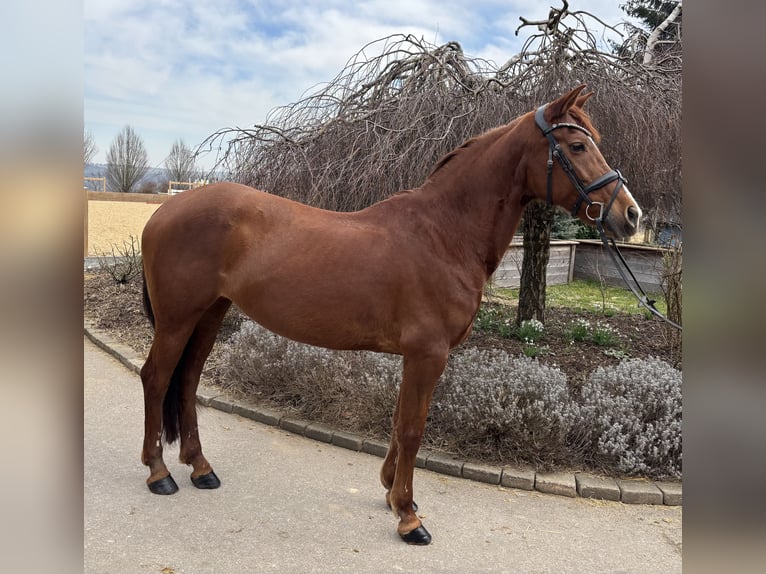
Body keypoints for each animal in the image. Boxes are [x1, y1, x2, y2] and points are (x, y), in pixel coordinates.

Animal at [140, 83, 640, 548]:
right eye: (577, 146)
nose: (630, 215)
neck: (444, 235)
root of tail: (166, 209)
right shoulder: (427, 354)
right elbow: (413, 428)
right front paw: (408, 516)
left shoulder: (415, 357)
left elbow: (400, 422)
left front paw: (391, 492)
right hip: (177, 319)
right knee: (157, 377)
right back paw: (159, 473)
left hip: (209, 314)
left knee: (188, 380)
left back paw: (200, 468)